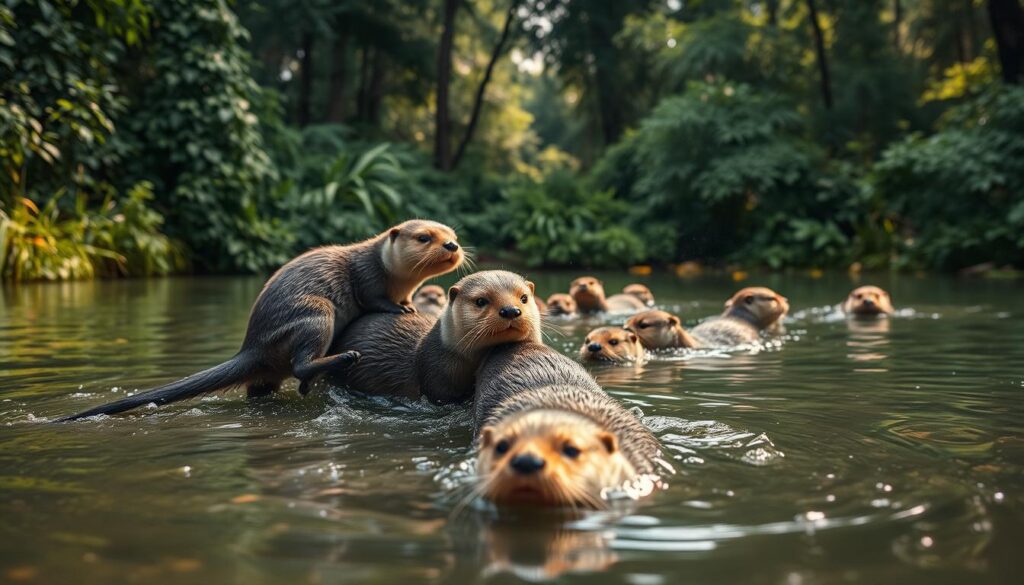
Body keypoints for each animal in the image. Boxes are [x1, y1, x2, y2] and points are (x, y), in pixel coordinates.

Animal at [59, 220, 463, 421]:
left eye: (453, 235)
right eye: (424, 237)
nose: (452, 246)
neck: (393, 275)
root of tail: (251, 345)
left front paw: (408, 306)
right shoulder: (367, 278)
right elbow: (376, 300)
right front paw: (402, 310)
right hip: (316, 313)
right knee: (300, 364)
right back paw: (339, 360)